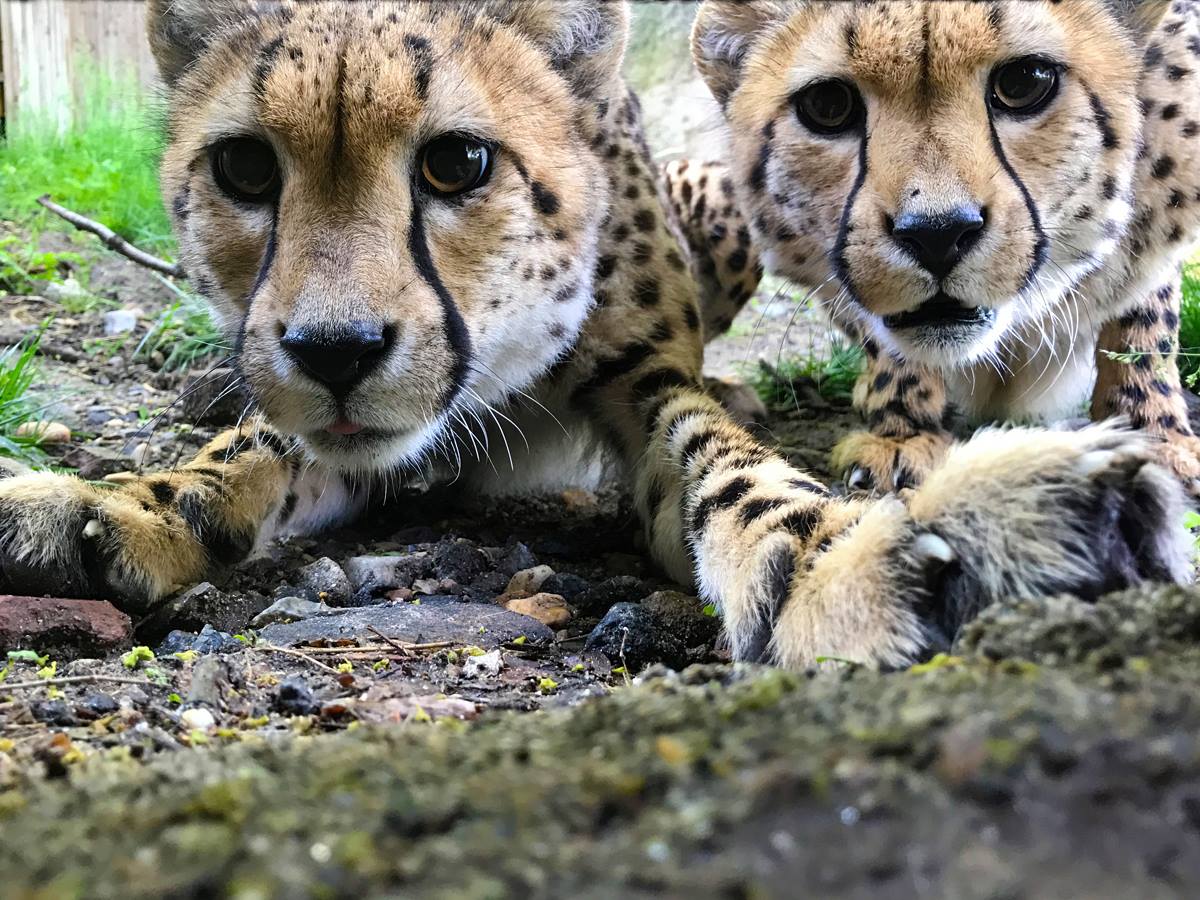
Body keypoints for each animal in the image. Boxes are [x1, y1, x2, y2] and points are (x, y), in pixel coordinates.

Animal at [690, 0, 1200, 496]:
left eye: (1025, 81)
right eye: (827, 104)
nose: (937, 234)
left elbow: (1145, 323)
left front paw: (1152, 435)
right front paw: (905, 432)